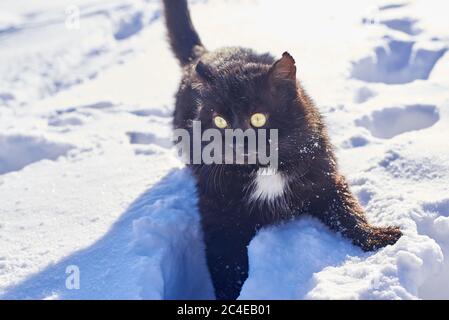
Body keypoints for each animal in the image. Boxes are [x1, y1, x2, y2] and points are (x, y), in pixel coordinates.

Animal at [162, 0, 402, 300]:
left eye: (258, 118)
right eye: (220, 121)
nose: (237, 142)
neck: (264, 170)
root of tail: (205, 54)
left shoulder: (325, 178)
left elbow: (347, 211)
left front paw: (378, 238)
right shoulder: (217, 215)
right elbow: (227, 267)